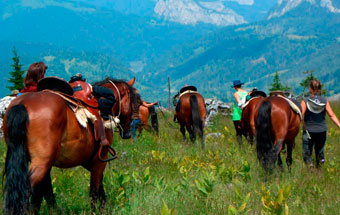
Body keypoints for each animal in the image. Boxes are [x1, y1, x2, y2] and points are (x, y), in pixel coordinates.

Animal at [2, 77, 135, 213]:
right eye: (133, 101)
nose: (128, 133)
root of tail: (21, 104)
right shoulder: (99, 161)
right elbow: (94, 191)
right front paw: (97, 211)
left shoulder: (87, 161)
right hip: (41, 163)